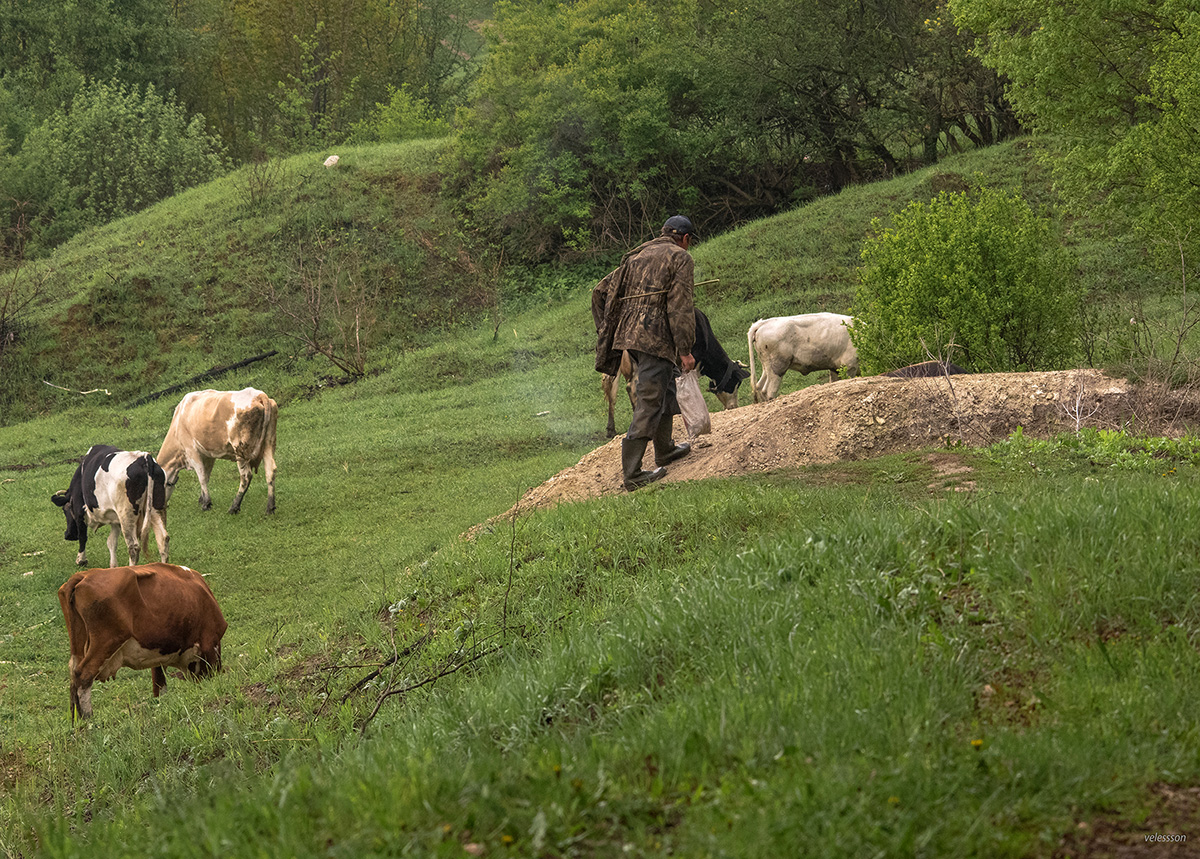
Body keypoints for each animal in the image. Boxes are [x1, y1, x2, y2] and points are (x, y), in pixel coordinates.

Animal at [55, 561, 226, 719]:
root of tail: (84, 575)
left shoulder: (159, 656)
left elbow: (159, 686)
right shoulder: (210, 642)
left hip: (78, 644)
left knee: (73, 674)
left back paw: (76, 720)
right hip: (106, 642)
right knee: (83, 674)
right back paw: (88, 718)